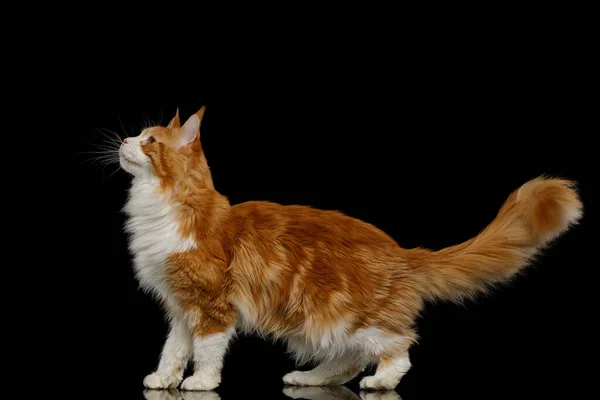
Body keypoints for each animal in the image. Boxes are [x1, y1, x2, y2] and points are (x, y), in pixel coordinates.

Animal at [119, 106, 584, 390]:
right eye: (138, 136)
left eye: (150, 142)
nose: (124, 141)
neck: (160, 208)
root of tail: (404, 252)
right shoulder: (181, 309)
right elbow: (174, 351)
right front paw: (163, 380)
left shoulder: (212, 306)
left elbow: (207, 352)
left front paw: (200, 383)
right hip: (320, 325)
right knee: (349, 360)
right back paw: (309, 379)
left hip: (341, 316)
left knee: (398, 347)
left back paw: (381, 382)